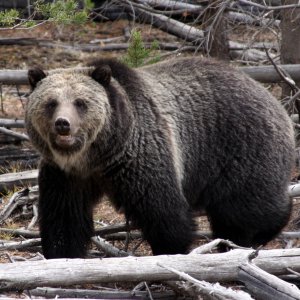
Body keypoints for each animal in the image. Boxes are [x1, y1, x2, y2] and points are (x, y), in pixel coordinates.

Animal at [25, 57, 292, 258]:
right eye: (51, 102)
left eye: (80, 103)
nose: (63, 124)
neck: (96, 157)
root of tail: (274, 100)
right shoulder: (65, 176)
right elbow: (64, 220)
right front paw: (62, 253)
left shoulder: (141, 158)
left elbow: (163, 212)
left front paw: (170, 250)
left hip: (241, 148)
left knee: (247, 208)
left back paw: (258, 234)